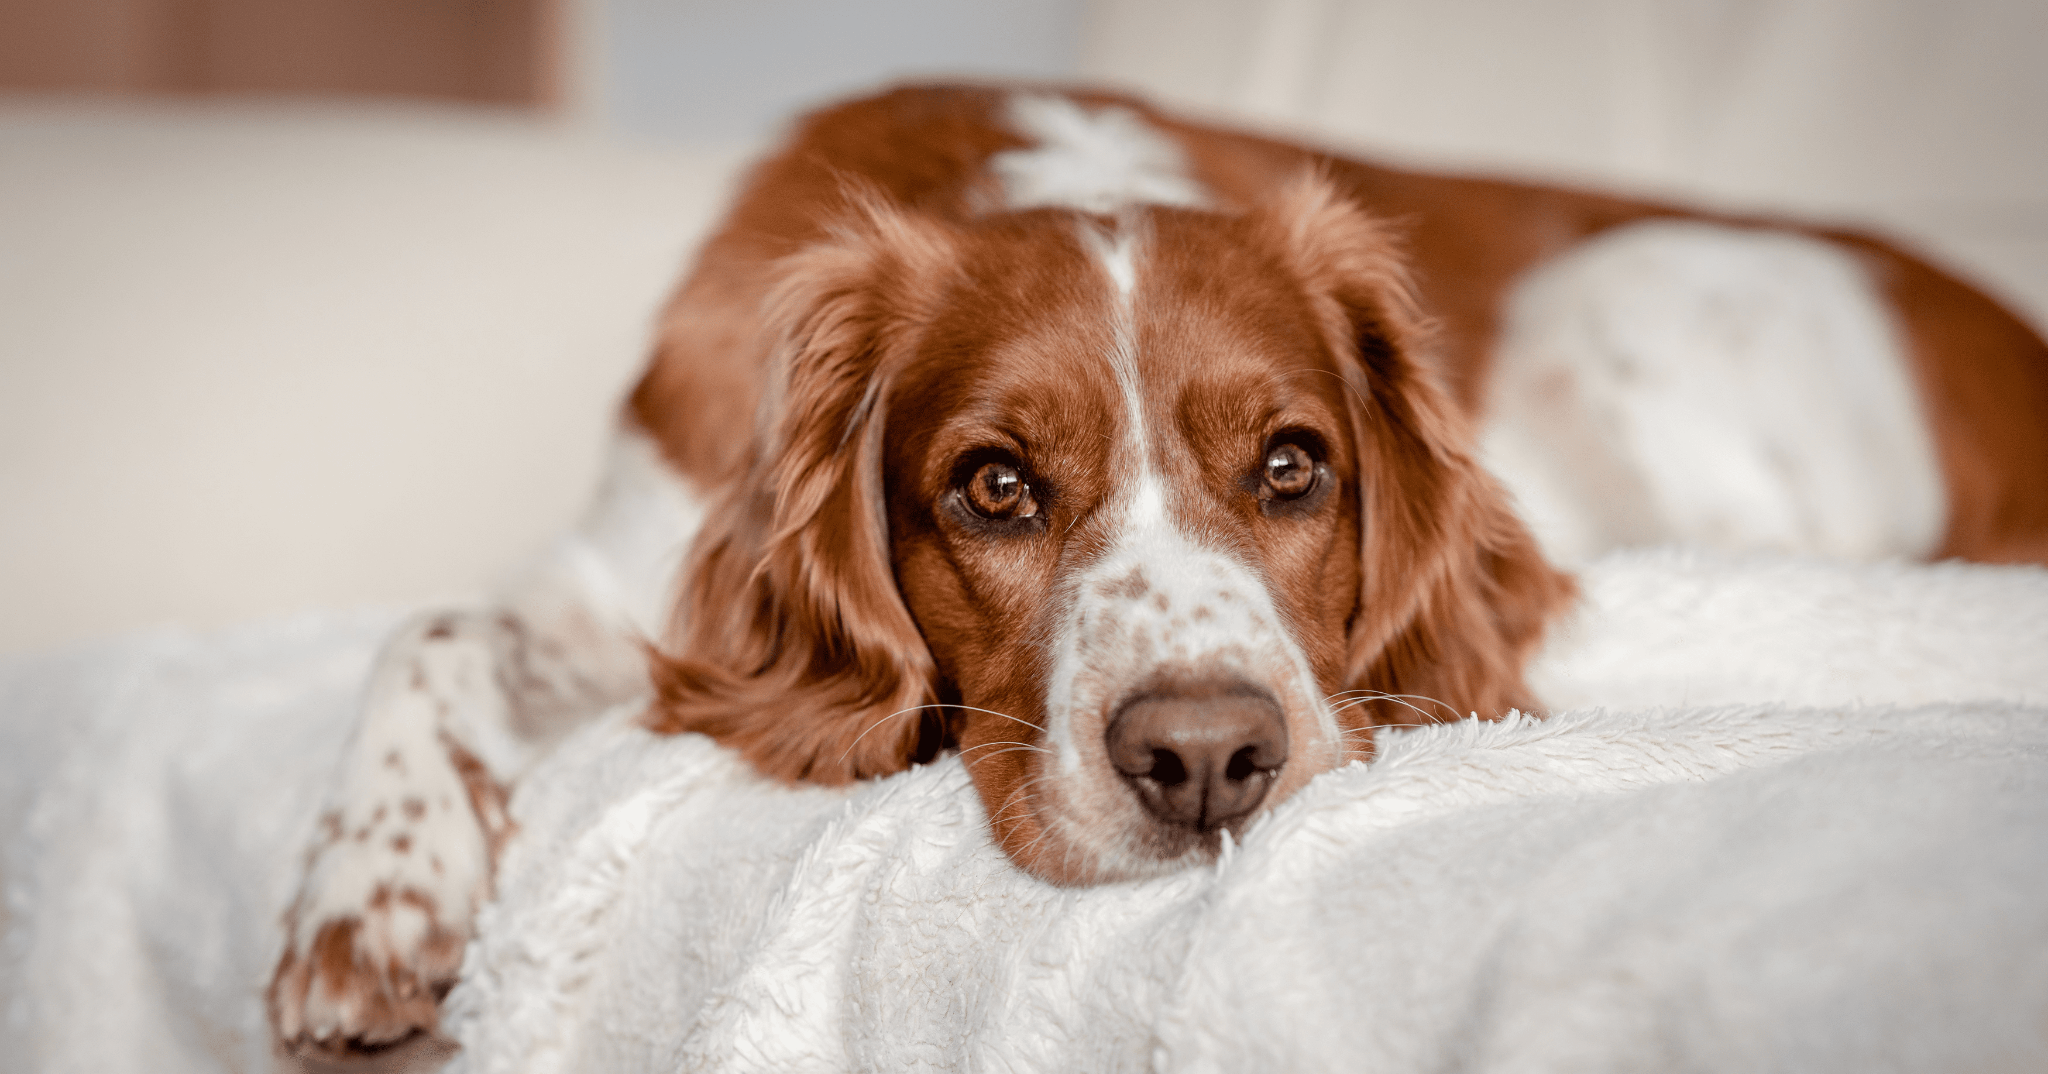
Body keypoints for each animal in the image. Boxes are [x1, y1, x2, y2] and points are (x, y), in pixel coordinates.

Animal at [272, 81, 2048, 1049]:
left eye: (1292, 465)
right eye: (993, 486)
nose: (1207, 760)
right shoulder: (632, 576)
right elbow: (431, 629)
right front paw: (370, 896)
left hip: (1627, 294)